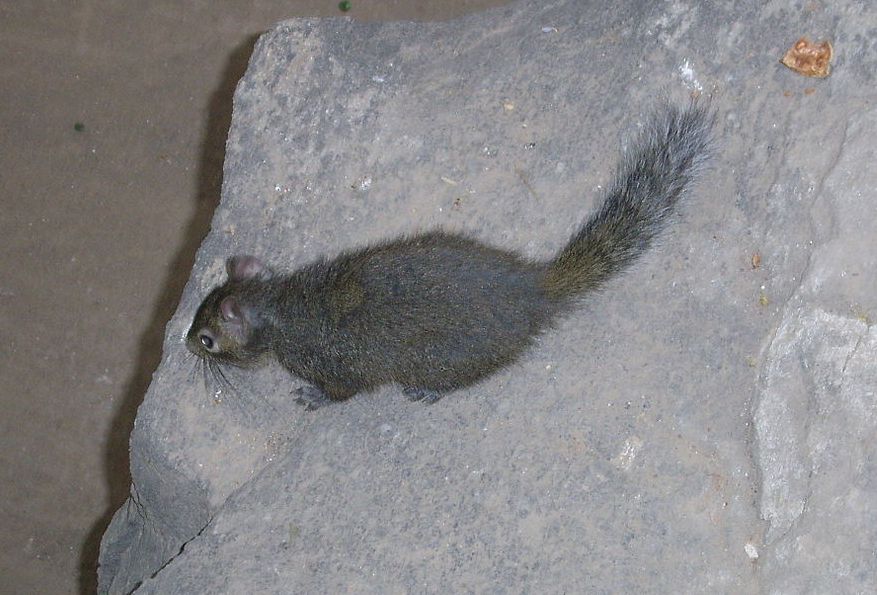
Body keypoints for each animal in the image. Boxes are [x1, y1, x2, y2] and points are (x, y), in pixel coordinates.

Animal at [186, 101, 714, 409]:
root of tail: (532, 290)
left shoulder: (330, 363)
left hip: (441, 360)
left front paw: (313, 399)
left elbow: (341, 392)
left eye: (208, 339)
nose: (187, 344)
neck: (280, 303)